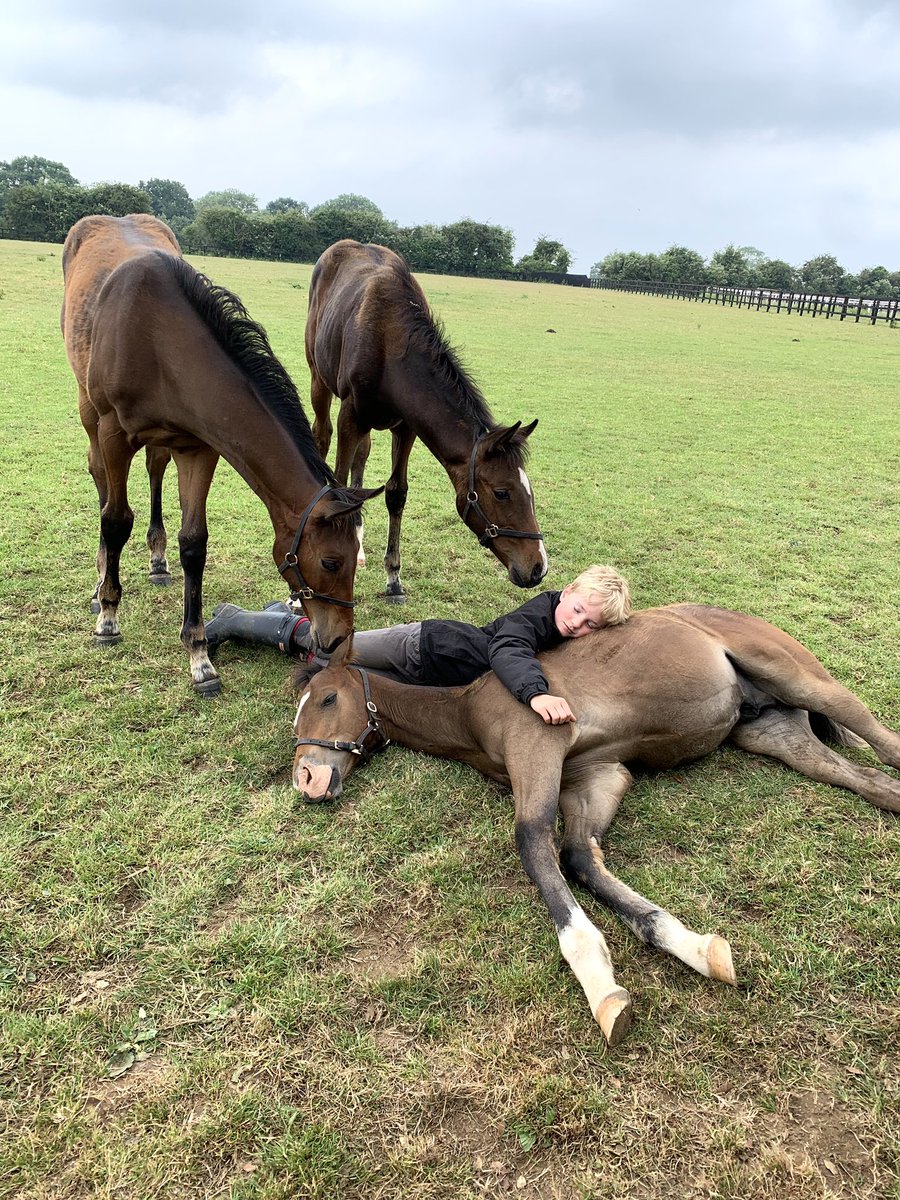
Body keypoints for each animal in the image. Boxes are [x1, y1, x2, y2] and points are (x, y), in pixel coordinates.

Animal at [59, 218, 376, 696]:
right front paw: (109, 617)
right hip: (89, 411)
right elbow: (115, 520)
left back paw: (157, 560)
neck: (159, 339)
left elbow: (194, 543)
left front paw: (199, 655)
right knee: (101, 481)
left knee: (154, 468)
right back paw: (101, 583)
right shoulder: (114, 433)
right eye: (330, 561)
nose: (339, 640)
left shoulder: (199, 446)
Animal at [290, 604, 900, 1046]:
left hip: (800, 679)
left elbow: (534, 844)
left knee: (882, 741)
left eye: (328, 698)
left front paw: (599, 985)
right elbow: (579, 857)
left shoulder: (539, 745)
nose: (308, 779)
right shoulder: (595, 777)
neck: (469, 711)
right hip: (775, 733)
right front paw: (695, 948)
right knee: (872, 780)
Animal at [307, 240, 549, 604]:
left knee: (363, 455)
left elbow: (396, 493)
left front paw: (393, 579)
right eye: (502, 493)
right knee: (321, 435)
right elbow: (338, 487)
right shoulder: (350, 415)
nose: (538, 568)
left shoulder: (406, 425)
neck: (388, 346)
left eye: (529, 489)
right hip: (319, 381)